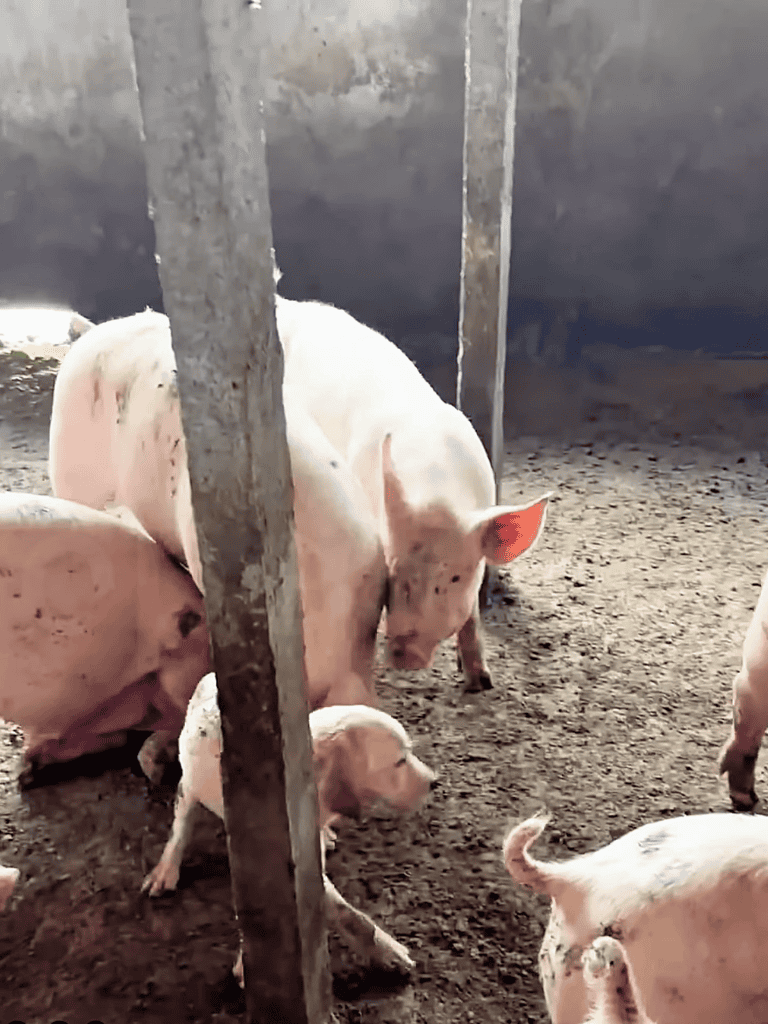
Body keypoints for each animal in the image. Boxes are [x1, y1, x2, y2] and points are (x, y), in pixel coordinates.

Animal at [142, 672, 436, 982]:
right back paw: (165, 871)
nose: (435, 781)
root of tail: (211, 676)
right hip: (189, 782)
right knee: (181, 822)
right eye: (399, 762)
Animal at [275, 291, 550, 691]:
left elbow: (471, 616)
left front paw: (481, 682)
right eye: (393, 570)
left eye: (455, 577)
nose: (405, 655)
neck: (437, 488)